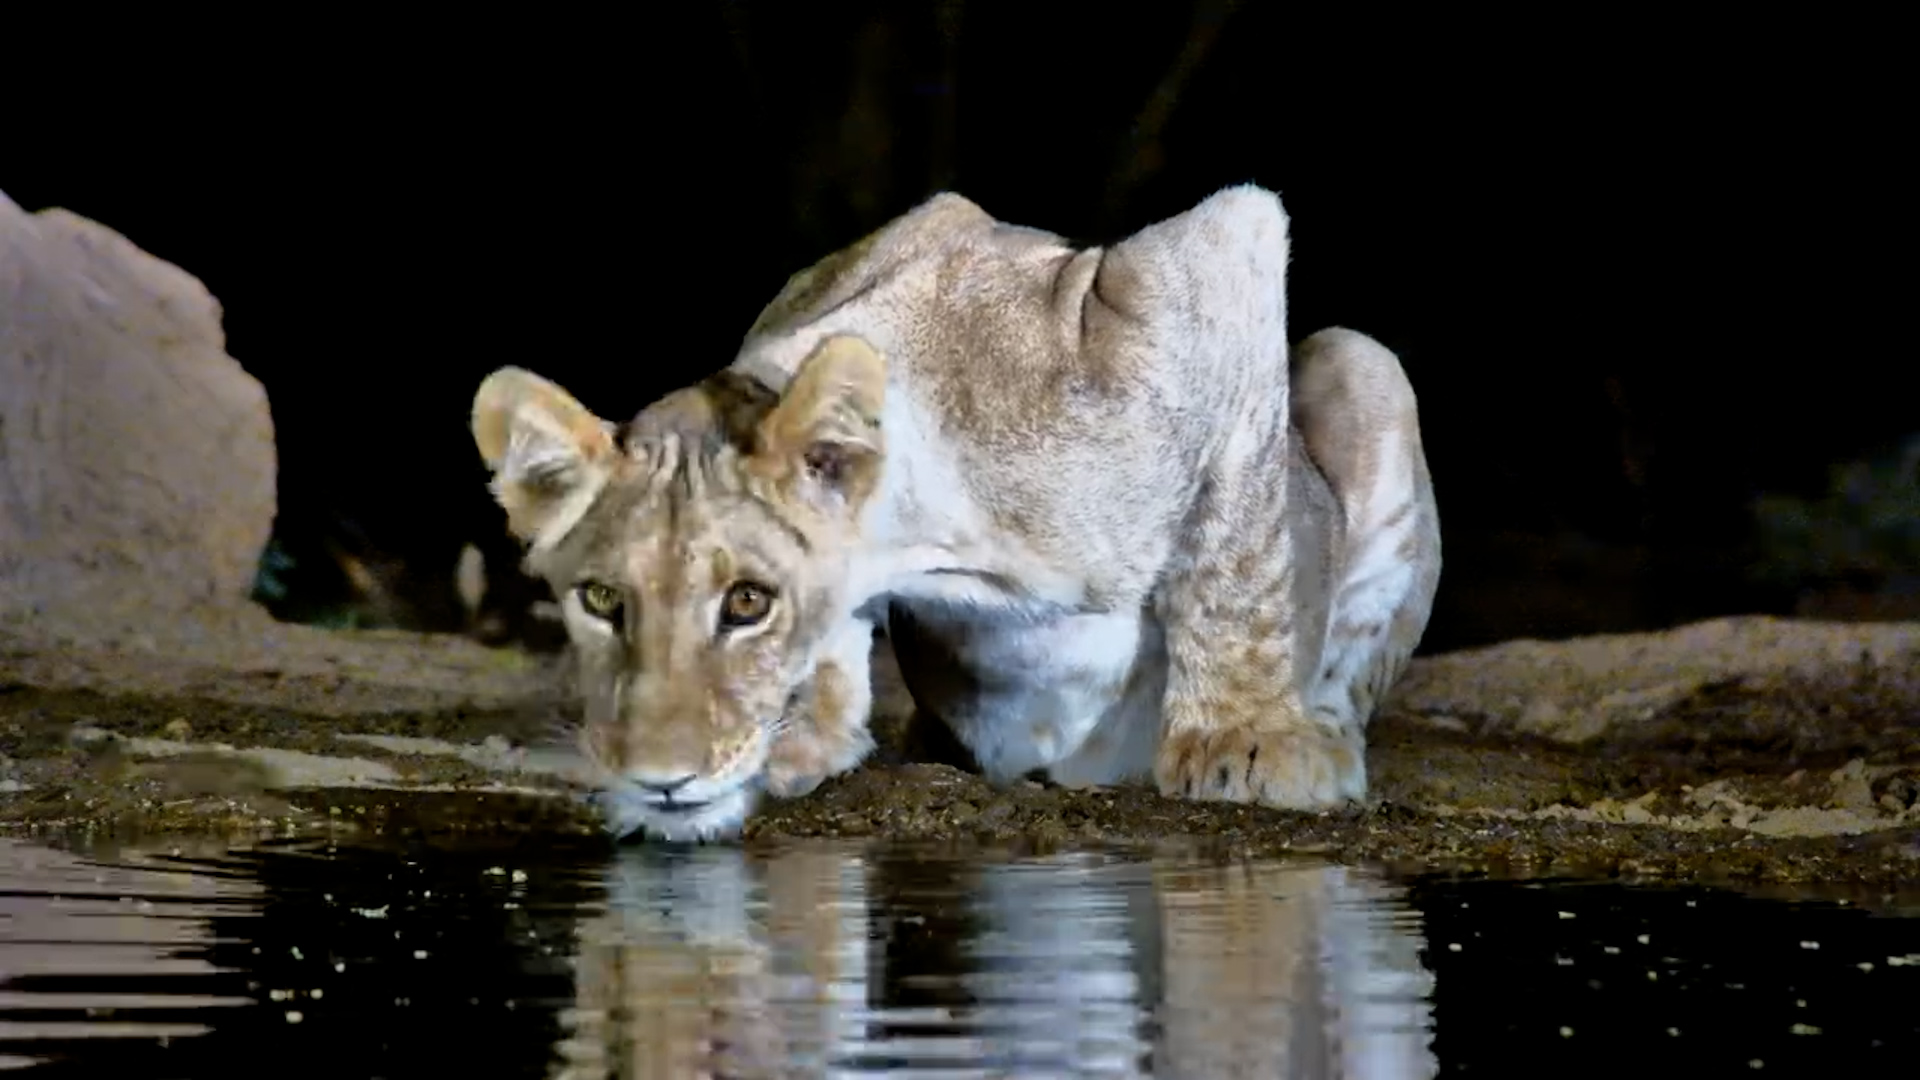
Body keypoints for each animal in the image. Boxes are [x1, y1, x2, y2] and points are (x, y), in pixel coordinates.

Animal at [470, 184, 1441, 842]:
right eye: (601, 602)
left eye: (747, 602)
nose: (658, 777)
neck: (933, 537)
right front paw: (811, 736)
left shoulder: (1215, 252)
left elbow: (1237, 552)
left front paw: (1244, 742)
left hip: (1365, 361)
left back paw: (1323, 736)